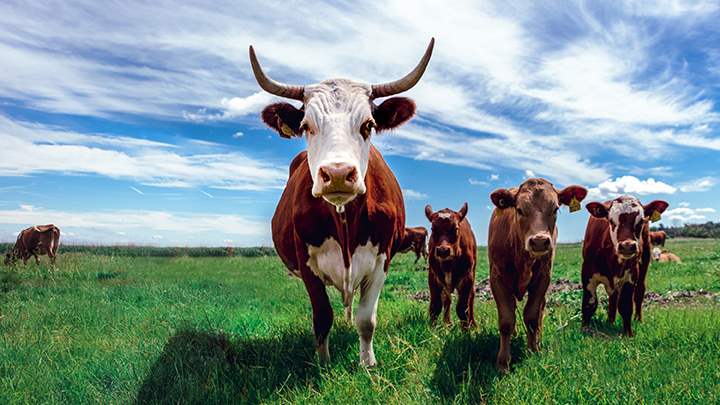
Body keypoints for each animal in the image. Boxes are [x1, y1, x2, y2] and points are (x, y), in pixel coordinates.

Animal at [250, 38, 436, 366]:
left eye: (369, 125)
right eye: (307, 126)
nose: (337, 174)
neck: (344, 219)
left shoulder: (382, 260)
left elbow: (366, 319)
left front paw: (367, 363)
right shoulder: (306, 262)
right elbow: (322, 316)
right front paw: (323, 363)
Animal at [486, 178, 588, 370]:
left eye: (555, 209)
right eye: (519, 209)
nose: (540, 241)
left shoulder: (543, 278)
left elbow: (532, 316)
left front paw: (533, 351)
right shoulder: (497, 278)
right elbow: (506, 320)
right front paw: (503, 362)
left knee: (540, 311)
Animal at [580, 195, 668, 334]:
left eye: (641, 221)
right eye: (611, 221)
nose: (627, 246)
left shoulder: (631, 276)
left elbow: (626, 306)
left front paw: (628, 333)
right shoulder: (587, 273)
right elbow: (589, 304)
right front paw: (585, 329)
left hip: (645, 261)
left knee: (639, 292)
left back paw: (638, 319)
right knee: (613, 297)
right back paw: (610, 321)